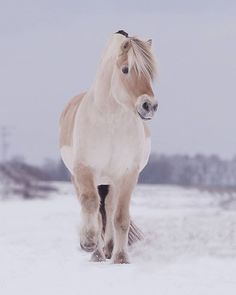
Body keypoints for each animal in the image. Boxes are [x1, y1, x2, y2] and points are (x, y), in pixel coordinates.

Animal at [60, 31, 158, 264]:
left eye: (150, 73)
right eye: (125, 69)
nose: (149, 106)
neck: (110, 121)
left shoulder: (128, 174)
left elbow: (120, 217)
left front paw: (121, 258)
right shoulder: (84, 169)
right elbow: (91, 205)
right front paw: (88, 243)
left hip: (112, 181)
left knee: (110, 210)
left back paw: (109, 248)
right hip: (81, 178)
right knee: (95, 209)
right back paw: (97, 253)